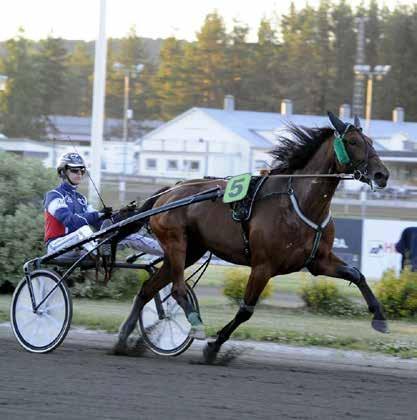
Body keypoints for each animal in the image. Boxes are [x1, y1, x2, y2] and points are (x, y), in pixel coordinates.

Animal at [111, 111, 390, 360]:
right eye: (353, 142)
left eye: (371, 141)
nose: (382, 174)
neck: (298, 203)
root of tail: (169, 191)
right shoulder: (263, 266)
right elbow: (246, 310)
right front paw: (213, 347)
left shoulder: (318, 261)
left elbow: (357, 275)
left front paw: (380, 318)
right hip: (176, 243)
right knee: (177, 289)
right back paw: (195, 325)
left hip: (191, 250)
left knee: (148, 289)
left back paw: (123, 339)